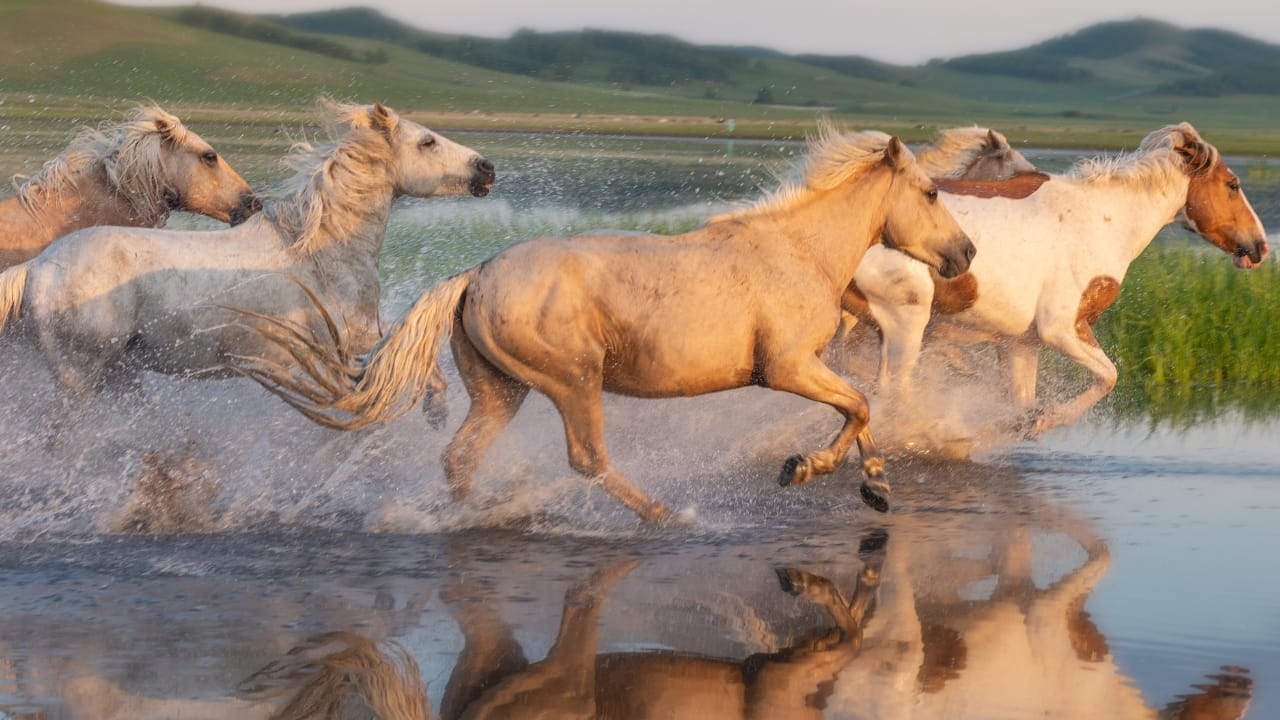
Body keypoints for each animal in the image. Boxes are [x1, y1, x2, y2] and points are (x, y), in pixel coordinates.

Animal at [235, 128, 975, 523]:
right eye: (932, 192)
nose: (965, 254)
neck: (799, 251)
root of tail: (475, 273)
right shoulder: (788, 367)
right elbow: (860, 403)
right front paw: (806, 470)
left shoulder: (804, 368)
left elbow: (861, 408)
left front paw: (874, 484)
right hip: (573, 381)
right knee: (588, 460)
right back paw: (668, 515)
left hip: (502, 391)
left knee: (461, 456)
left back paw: (471, 516)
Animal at [847, 122, 1268, 436]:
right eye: (1233, 185)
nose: (1260, 246)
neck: (1105, 219)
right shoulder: (1061, 328)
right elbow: (1109, 376)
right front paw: (1046, 420)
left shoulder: (1021, 342)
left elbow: (1021, 400)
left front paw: (1020, 424)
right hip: (904, 322)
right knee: (891, 393)